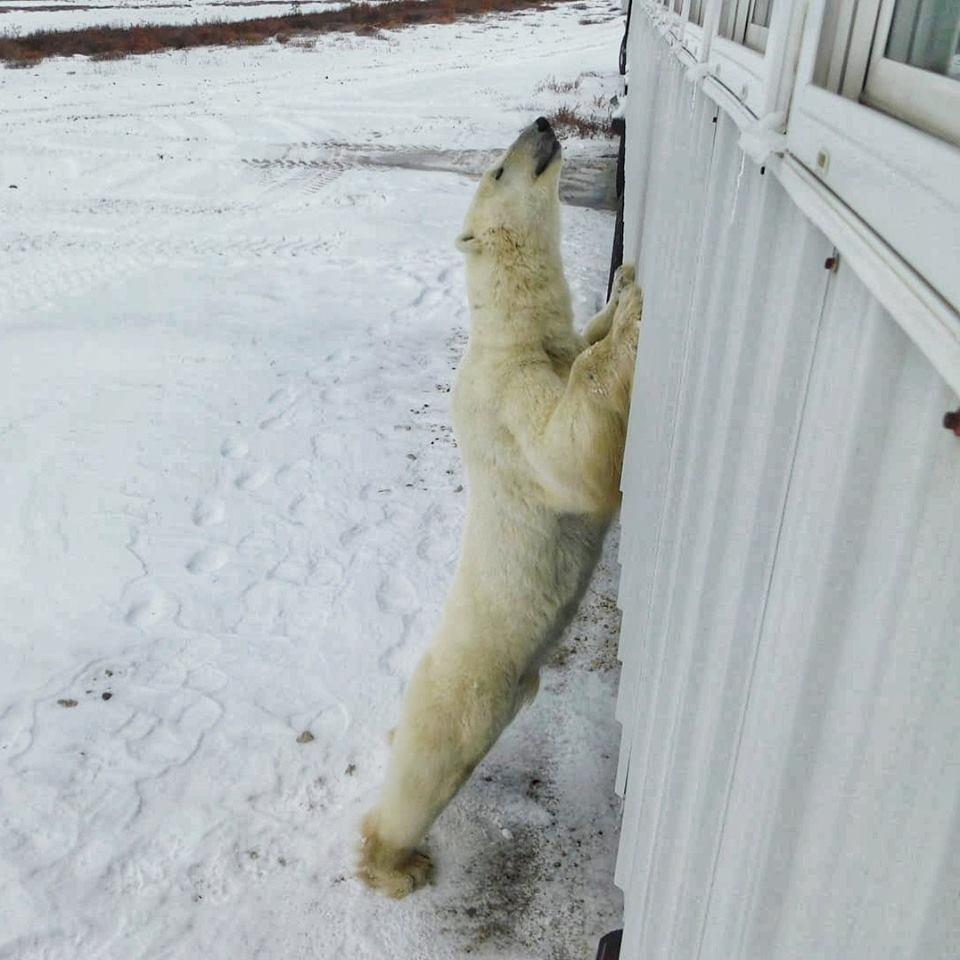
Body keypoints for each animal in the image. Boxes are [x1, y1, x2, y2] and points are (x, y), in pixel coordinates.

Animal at [359, 116, 642, 899]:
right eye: (497, 168)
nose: (543, 122)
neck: (513, 336)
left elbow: (583, 345)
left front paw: (621, 291)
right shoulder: (509, 400)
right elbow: (570, 453)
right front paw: (635, 315)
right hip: (469, 683)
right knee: (428, 763)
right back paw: (397, 864)